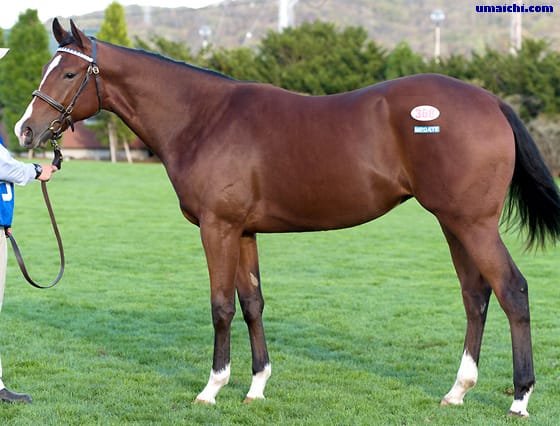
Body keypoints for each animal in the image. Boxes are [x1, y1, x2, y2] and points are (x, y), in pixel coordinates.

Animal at [14, 19, 560, 417]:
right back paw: (458, 391)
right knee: (476, 296)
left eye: (67, 74)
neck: (203, 118)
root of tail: (489, 100)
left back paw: (519, 397)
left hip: (472, 224)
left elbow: (220, 306)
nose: (25, 130)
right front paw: (256, 386)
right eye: (46, 68)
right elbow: (252, 303)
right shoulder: (243, 231)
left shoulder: (217, 228)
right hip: (453, 223)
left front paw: (212, 388)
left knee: (512, 291)